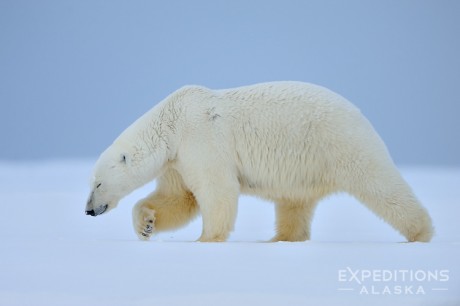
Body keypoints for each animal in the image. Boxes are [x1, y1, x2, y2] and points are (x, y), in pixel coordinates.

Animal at [86, 81, 434, 241]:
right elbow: (178, 197)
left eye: (99, 182)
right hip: (306, 167)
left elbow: (216, 191)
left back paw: (421, 233)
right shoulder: (178, 159)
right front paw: (146, 224)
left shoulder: (201, 139)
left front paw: (205, 239)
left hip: (342, 144)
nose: (89, 210)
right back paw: (280, 239)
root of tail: (360, 114)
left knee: (381, 186)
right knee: (294, 204)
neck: (173, 121)